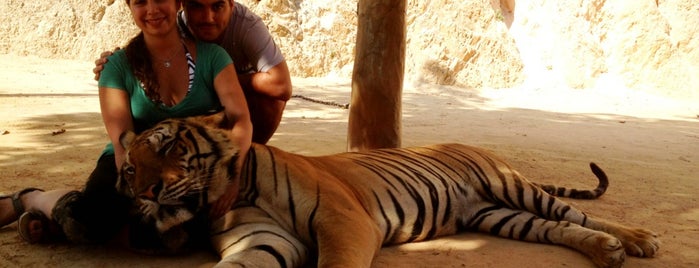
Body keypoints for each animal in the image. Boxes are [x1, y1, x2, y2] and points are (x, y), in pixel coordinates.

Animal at [116, 112, 660, 266]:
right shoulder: (262, 240)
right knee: (556, 229)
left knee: (576, 215)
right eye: (128, 170)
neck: (232, 195)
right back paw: (607, 251)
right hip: (494, 214)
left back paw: (636, 240)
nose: (142, 192)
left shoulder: (343, 222)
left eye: (169, 147)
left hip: (509, 186)